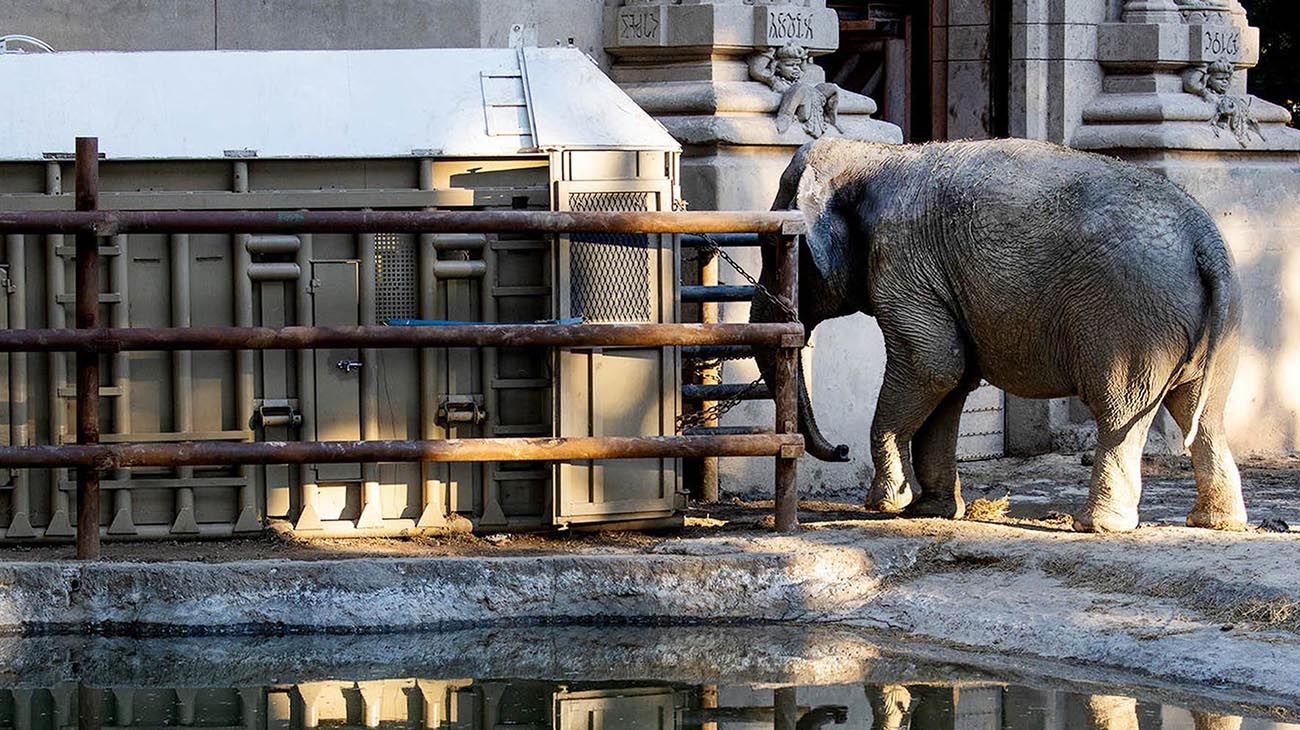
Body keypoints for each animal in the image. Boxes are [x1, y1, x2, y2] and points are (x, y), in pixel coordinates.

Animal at [754, 136, 1248, 532]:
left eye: (774, 249)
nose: (840, 449)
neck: (875, 154)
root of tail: (1204, 237)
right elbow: (951, 382)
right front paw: (930, 511)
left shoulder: (903, 261)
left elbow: (932, 366)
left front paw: (887, 504)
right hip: (1215, 325)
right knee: (1202, 412)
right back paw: (1215, 522)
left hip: (1130, 319)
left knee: (1120, 411)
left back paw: (1096, 525)